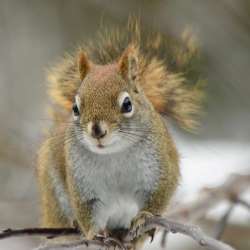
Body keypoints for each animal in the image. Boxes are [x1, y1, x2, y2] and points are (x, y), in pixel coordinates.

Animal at [37, 19, 205, 248]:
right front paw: (93, 234)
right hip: (55, 198)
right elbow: (88, 212)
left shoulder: (160, 171)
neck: (113, 154)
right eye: (75, 108)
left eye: (127, 104)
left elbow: (157, 198)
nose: (97, 130)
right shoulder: (84, 187)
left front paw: (143, 217)